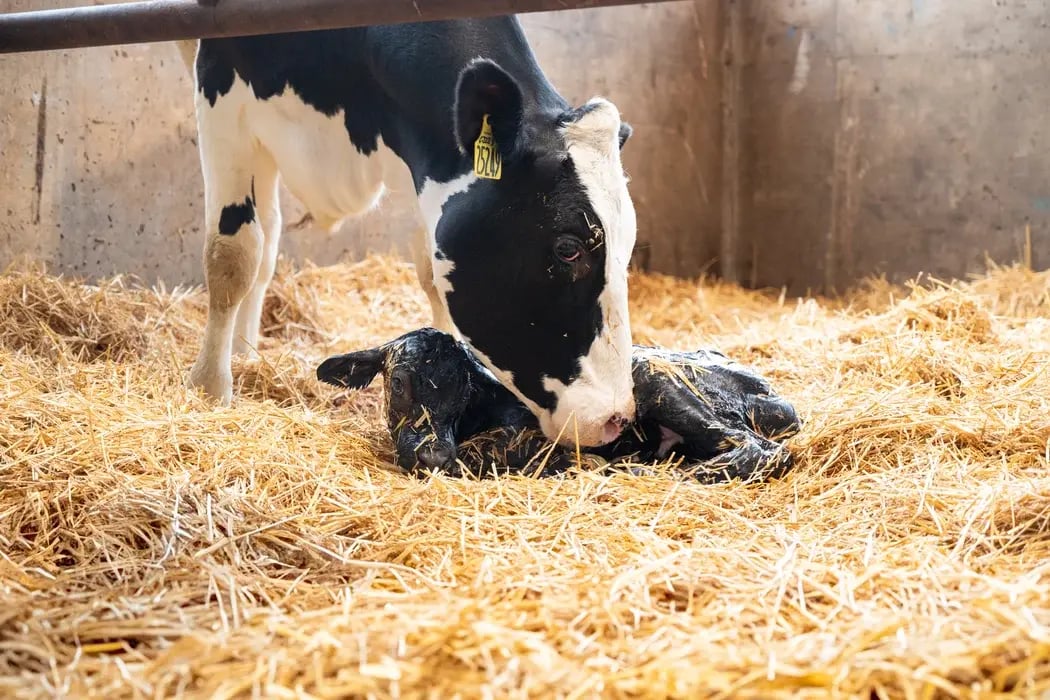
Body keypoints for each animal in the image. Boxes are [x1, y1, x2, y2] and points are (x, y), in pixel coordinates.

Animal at [175, 15, 638, 448]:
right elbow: (231, 257)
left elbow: (431, 277)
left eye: (628, 247)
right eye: (568, 249)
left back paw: (246, 351)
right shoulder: (220, 94)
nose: (616, 418)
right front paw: (209, 388)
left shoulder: (424, 164)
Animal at [315, 328, 803, 483]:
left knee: (761, 449)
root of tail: (770, 392)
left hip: (656, 376)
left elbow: (484, 451)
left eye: (466, 391)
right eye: (398, 382)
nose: (432, 453)